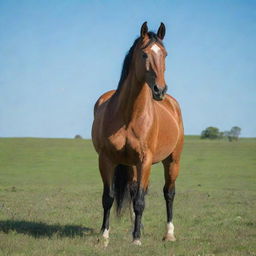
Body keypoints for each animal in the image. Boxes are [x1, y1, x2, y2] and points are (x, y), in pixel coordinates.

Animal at [91, 21, 183, 245]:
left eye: (165, 54)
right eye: (144, 54)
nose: (160, 90)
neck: (129, 115)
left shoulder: (145, 160)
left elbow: (141, 200)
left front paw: (136, 239)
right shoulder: (106, 159)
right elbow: (108, 198)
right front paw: (104, 235)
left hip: (172, 161)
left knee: (169, 193)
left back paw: (169, 233)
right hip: (131, 164)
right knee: (133, 191)